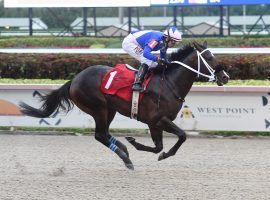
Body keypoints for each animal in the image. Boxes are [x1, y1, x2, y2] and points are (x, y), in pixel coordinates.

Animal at [20, 41, 229, 170]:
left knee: (104, 134)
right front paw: (157, 152)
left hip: (109, 110)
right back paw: (125, 156)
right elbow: (181, 136)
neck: (168, 83)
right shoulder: (158, 119)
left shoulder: (155, 123)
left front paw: (136, 143)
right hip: (99, 108)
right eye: (209, 57)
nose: (225, 77)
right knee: (100, 135)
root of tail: (74, 80)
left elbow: (158, 146)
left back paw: (124, 150)